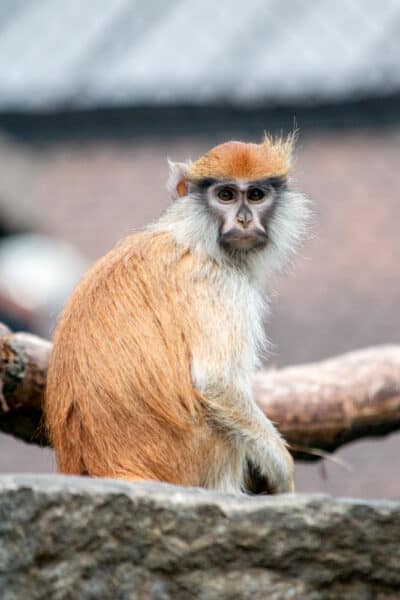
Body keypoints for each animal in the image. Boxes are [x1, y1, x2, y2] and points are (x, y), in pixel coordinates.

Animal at [45, 134, 310, 494]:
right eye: (225, 195)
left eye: (256, 195)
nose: (243, 219)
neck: (193, 236)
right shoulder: (217, 283)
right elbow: (216, 382)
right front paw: (283, 468)